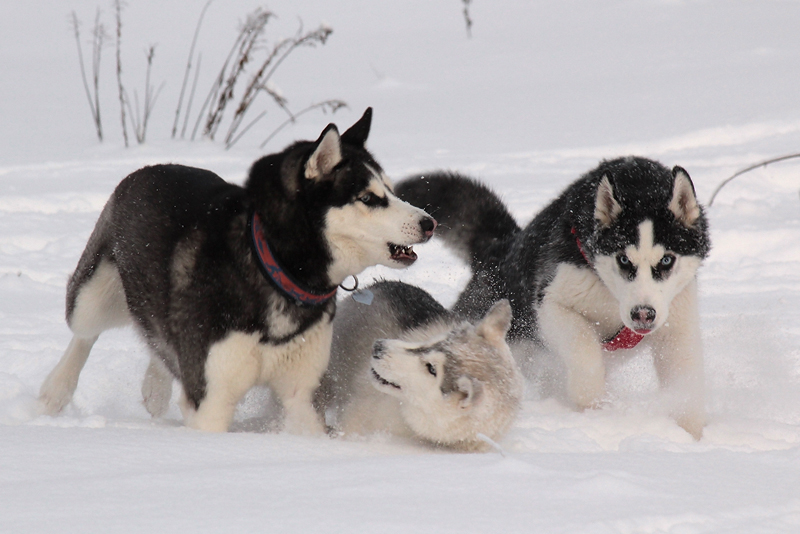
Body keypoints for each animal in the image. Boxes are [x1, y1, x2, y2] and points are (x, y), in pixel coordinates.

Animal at [39, 109, 438, 436]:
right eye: (368, 198)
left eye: (391, 190)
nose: (430, 223)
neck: (275, 269)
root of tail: (150, 168)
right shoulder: (212, 400)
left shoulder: (300, 393)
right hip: (93, 295)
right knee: (84, 334)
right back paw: (54, 392)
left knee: (159, 340)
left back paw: (155, 386)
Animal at [400, 158, 712, 440]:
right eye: (624, 259)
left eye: (667, 260)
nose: (643, 314)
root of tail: (501, 249)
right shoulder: (551, 304)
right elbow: (583, 347)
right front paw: (590, 400)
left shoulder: (675, 321)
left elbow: (684, 377)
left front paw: (688, 435)